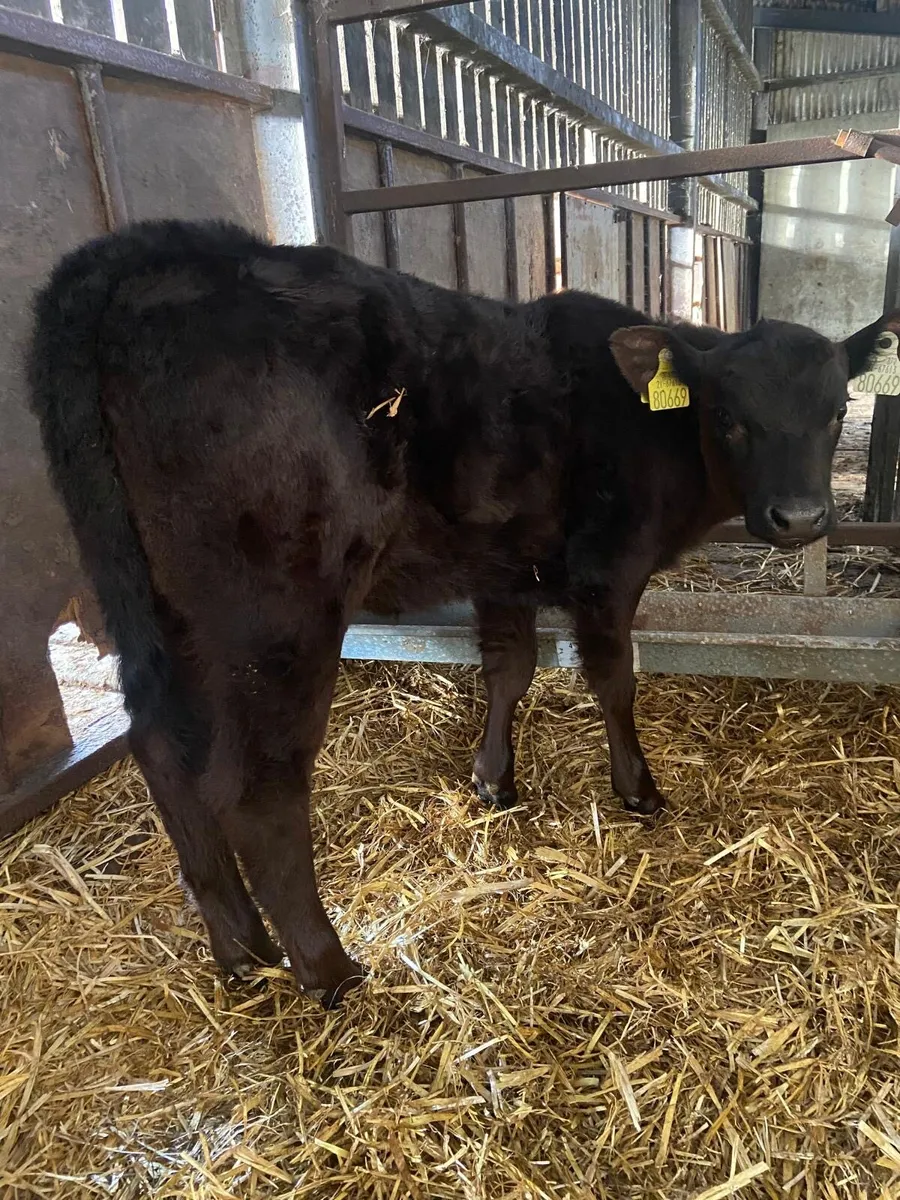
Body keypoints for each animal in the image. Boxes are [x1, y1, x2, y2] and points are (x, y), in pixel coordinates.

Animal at [28, 218, 887, 1006]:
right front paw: (638, 790)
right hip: (271, 613)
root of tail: (148, 249)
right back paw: (327, 968)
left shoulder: (503, 566)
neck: (646, 420)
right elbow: (613, 680)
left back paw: (241, 949)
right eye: (731, 415)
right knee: (254, 786)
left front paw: (493, 780)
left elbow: (510, 670)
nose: (801, 518)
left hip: (141, 595)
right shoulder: (608, 569)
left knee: (162, 746)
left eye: (837, 410)